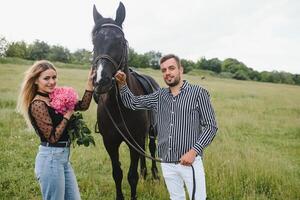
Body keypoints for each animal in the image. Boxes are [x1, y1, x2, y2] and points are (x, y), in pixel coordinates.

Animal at [91, 2, 161, 200]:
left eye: (120, 41)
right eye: (94, 42)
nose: (101, 81)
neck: (119, 106)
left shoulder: (134, 139)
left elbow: (131, 176)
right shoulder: (110, 143)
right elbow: (117, 173)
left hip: (152, 131)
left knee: (151, 148)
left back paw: (154, 174)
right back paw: (145, 172)